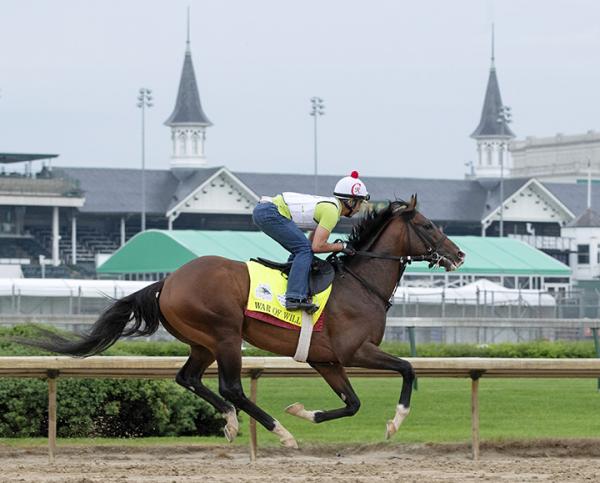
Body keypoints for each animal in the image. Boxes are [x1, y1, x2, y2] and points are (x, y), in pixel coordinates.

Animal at [25, 197, 464, 450]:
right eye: (428, 225)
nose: (458, 254)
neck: (360, 284)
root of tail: (168, 281)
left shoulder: (325, 359)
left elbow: (352, 403)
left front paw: (304, 412)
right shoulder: (354, 350)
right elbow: (407, 369)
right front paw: (395, 423)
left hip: (202, 341)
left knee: (189, 378)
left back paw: (234, 423)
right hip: (225, 334)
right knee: (231, 386)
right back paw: (278, 432)